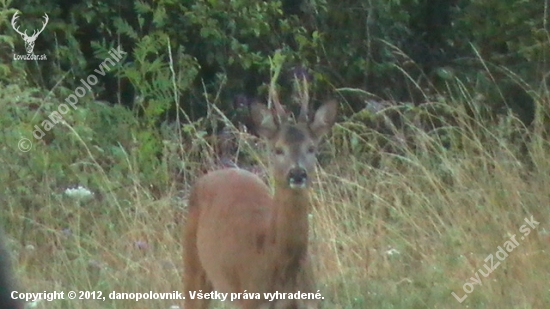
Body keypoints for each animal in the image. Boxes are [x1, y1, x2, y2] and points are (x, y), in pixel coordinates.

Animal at [183, 95, 338, 306]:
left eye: (311, 148)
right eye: (278, 149)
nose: (297, 174)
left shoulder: (311, 300)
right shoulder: (251, 299)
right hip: (193, 264)